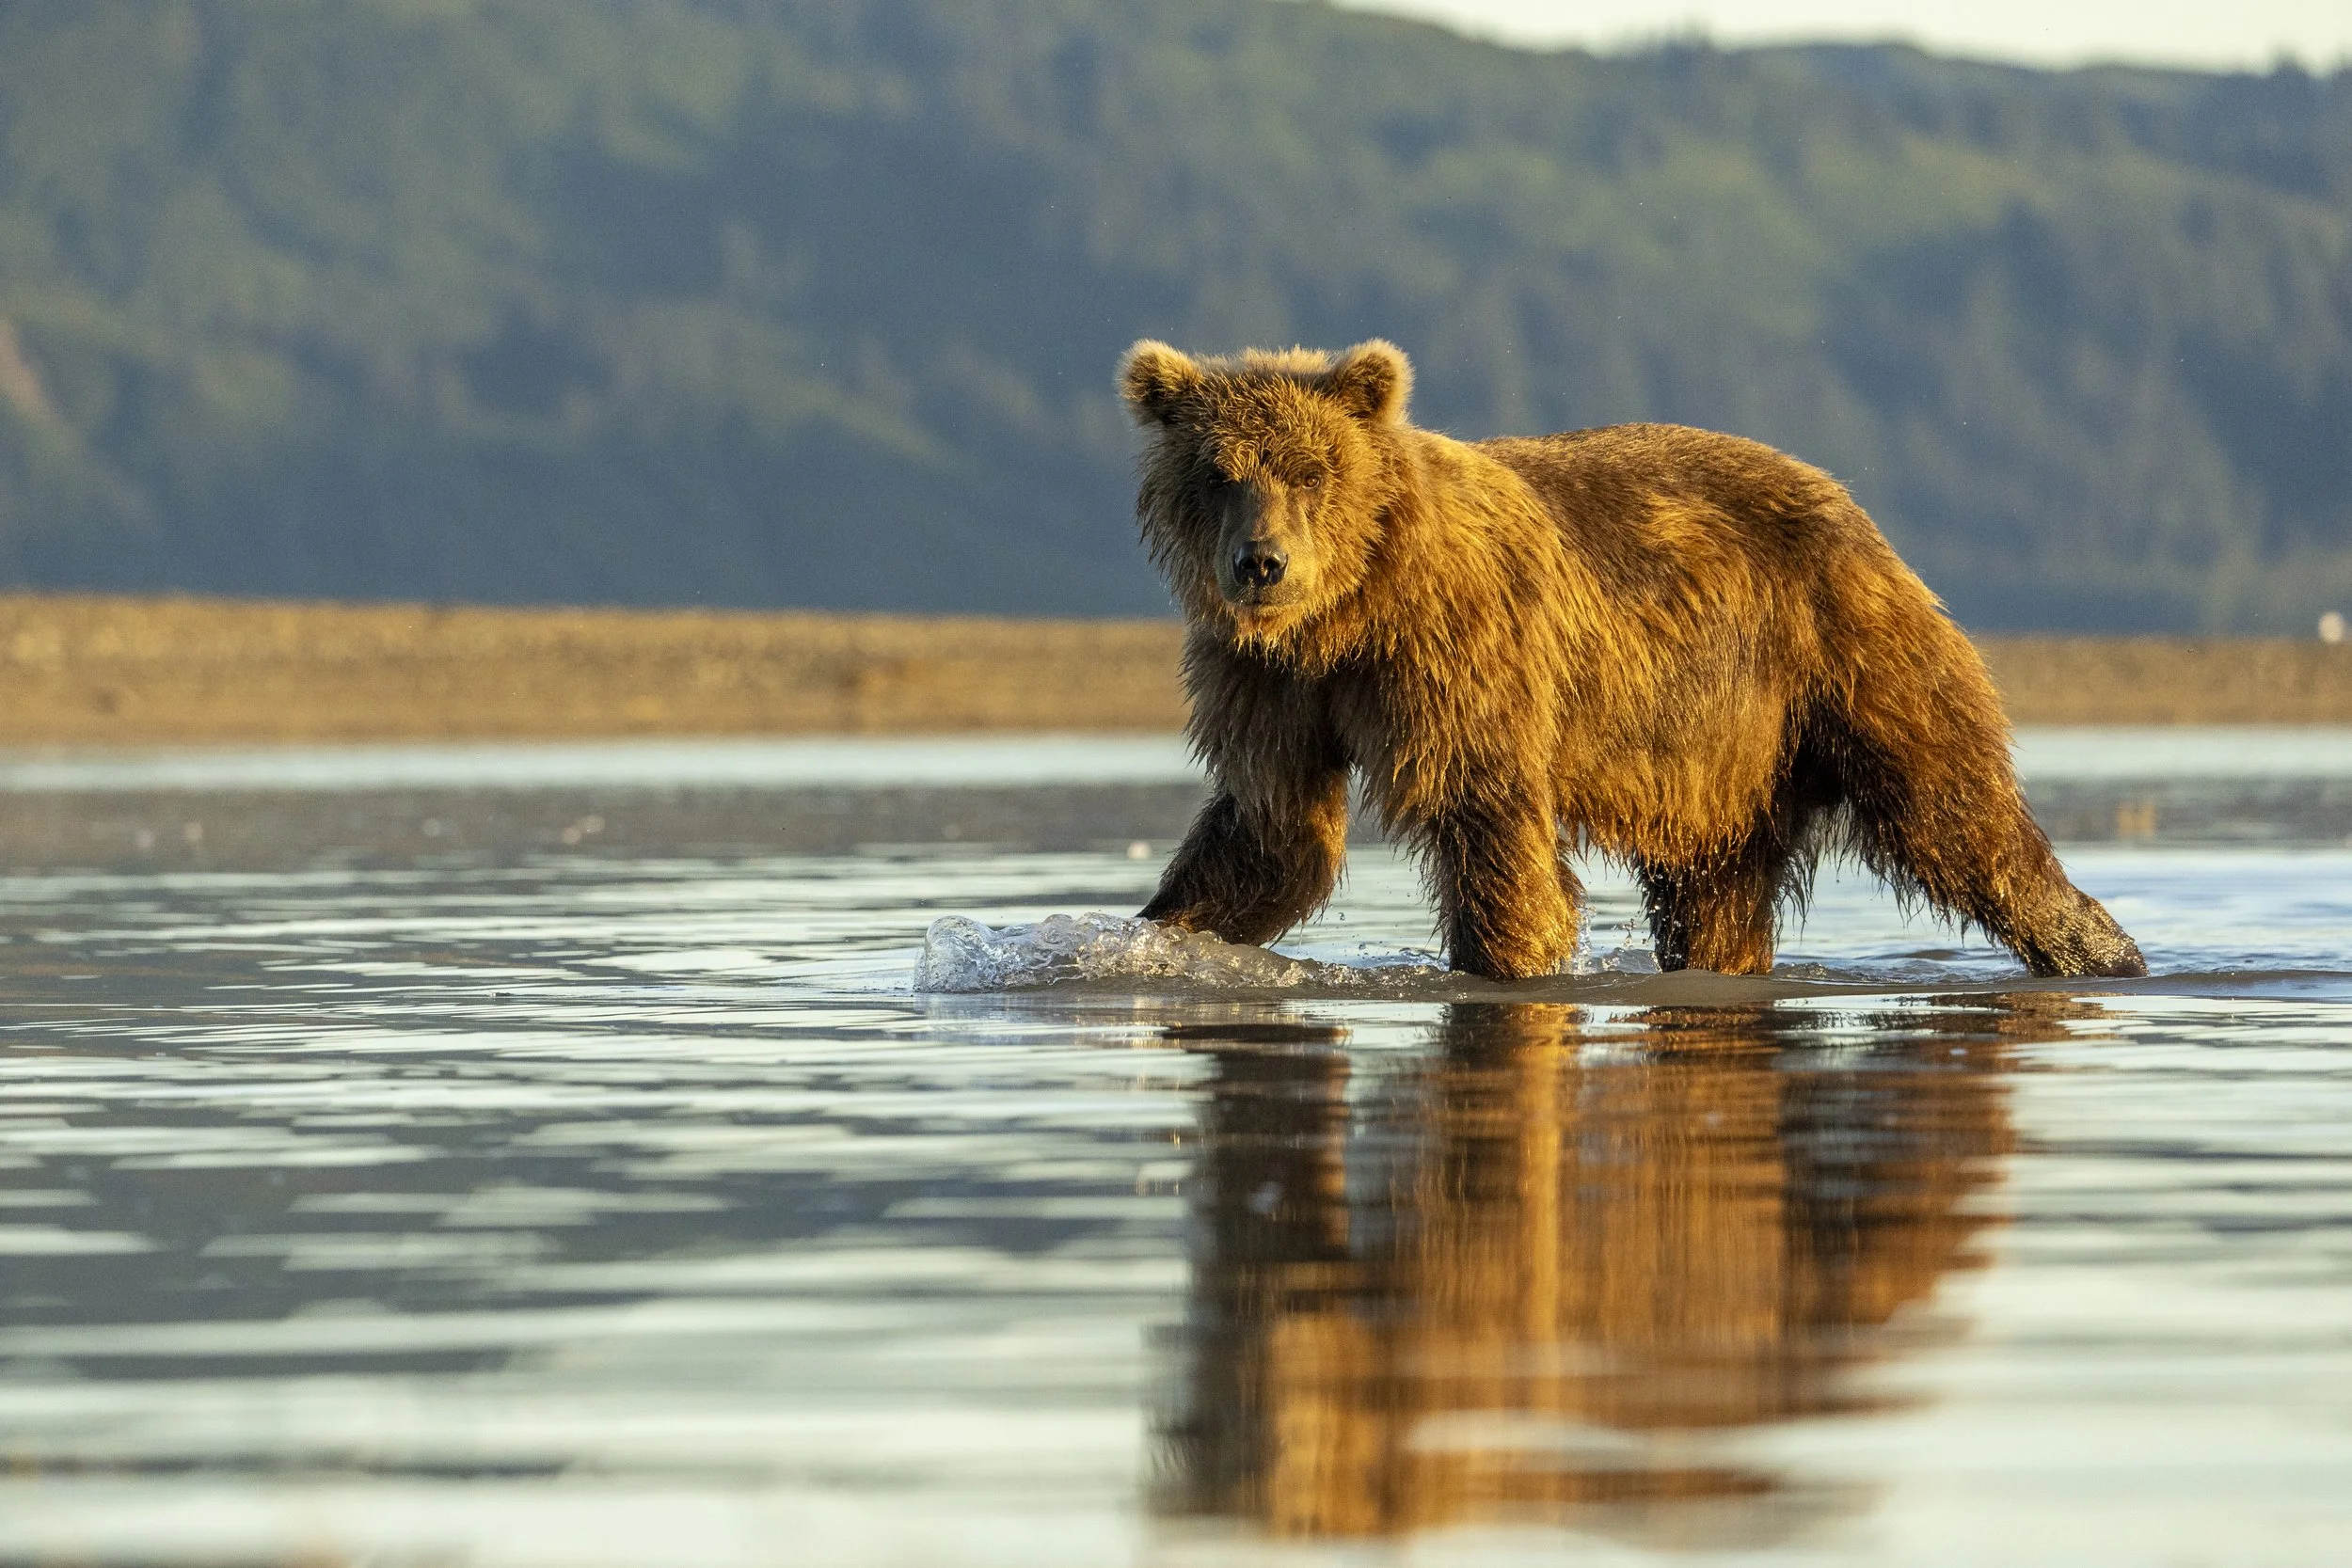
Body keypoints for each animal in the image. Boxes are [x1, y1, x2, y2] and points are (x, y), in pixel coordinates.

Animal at [1117, 337, 2146, 983]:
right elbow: (1274, 830)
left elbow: (1486, 816)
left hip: (1846, 654)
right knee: (1714, 896)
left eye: (1310, 469)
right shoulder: (1268, 684)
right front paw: (1148, 933)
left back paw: (2101, 949)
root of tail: (1853, 506)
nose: (1261, 563)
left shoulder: (1458, 651)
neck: (1347, 612)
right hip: (1724, 762)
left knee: (1959, 813)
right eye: (1218, 472)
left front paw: (1512, 957)